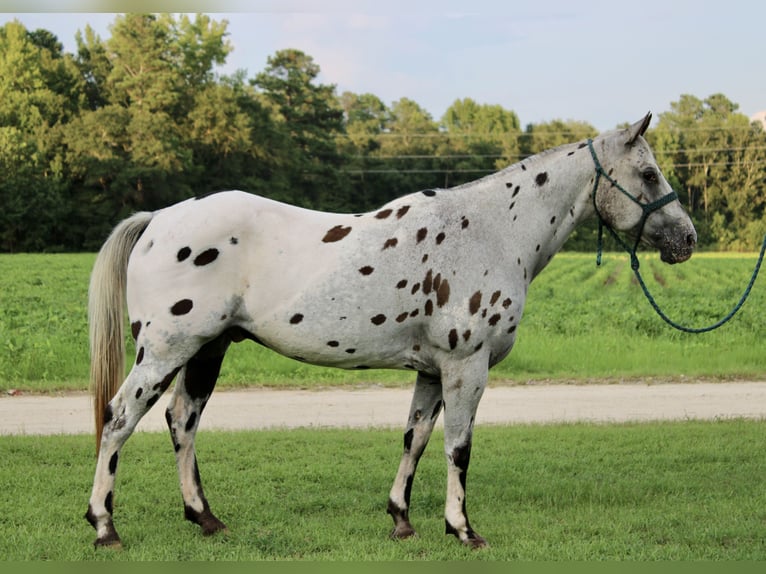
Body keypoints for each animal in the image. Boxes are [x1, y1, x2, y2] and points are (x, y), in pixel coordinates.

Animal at [85, 112, 704, 548]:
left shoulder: (432, 371)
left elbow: (416, 438)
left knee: (182, 421)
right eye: (649, 173)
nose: (687, 239)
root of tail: (159, 220)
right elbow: (458, 447)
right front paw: (462, 529)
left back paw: (205, 518)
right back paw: (104, 526)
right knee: (118, 419)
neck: (492, 230)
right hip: (164, 352)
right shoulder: (466, 367)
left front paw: (402, 520)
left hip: (206, 350)